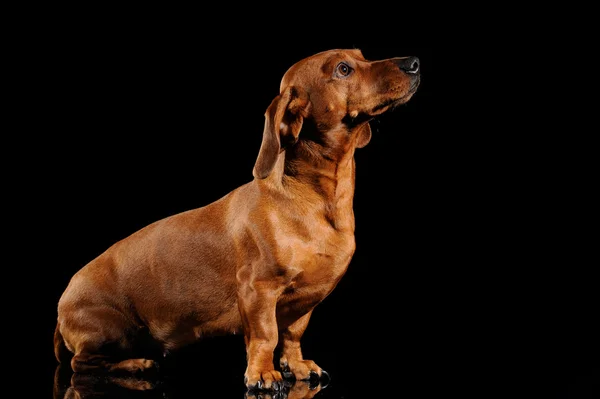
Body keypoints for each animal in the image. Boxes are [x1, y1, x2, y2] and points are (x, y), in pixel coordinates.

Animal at [55, 48, 422, 392]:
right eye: (343, 69)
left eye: (362, 56)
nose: (414, 63)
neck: (317, 200)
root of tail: (61, 307)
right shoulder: (257, 290)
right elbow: (266, 336)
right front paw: (262, 373)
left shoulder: (305, 301)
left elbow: (292, 336)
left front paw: (297, 365)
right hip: (114, 331)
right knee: (81, 364)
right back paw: (136, 365)